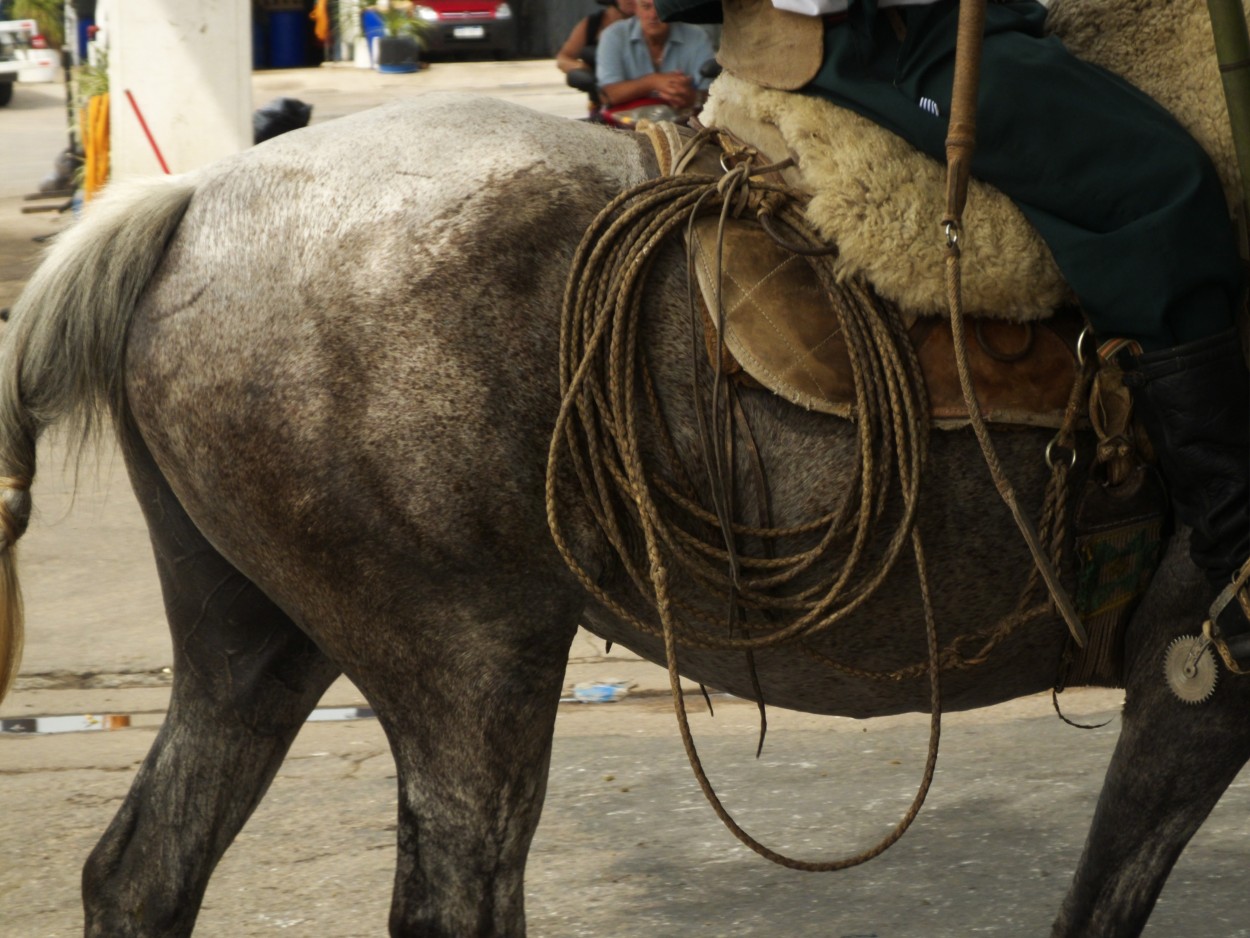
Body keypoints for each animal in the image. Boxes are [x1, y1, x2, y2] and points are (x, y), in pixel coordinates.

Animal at [0, 80, 1245, 938]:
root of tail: (192, 197)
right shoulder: (1193, 679)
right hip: (468, 656)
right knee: (457, 897)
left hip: (254, 632)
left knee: (143, 869)